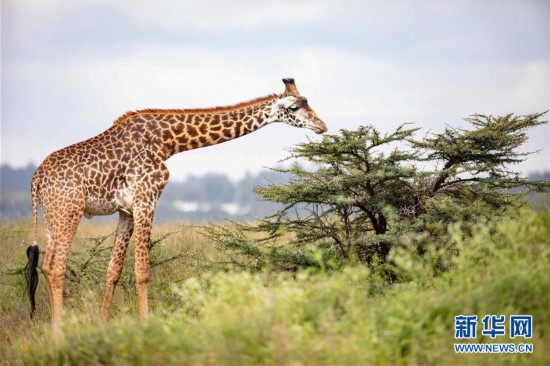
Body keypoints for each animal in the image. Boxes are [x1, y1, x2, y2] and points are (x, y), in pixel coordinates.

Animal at [25, 78, 328, 324]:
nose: (322, 126)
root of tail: (36, 178)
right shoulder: (146, 200)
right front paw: (146, 324)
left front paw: (102, 324)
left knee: (46, 265)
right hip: (69, 211)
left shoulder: (126, 210)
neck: (167, 142)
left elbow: (114, 269)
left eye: (308, 102)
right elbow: (143, 269)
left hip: (52, 216)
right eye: (294, 108)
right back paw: (59, 330)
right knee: (56, 267)